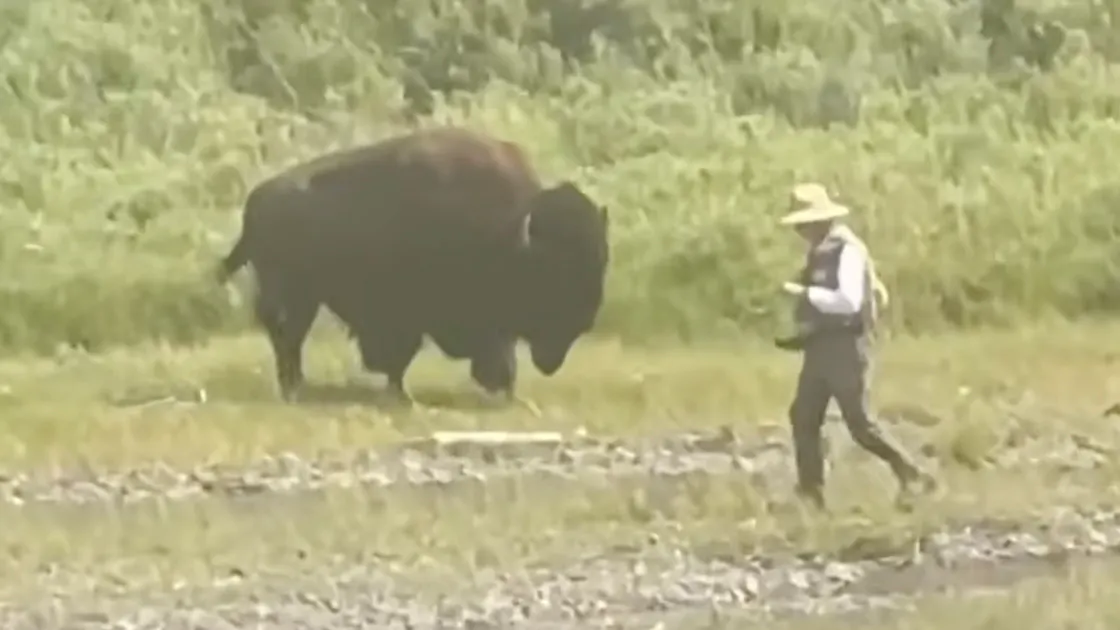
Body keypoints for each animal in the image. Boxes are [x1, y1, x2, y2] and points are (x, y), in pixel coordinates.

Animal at [215, 126, 610, 407]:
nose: (585, 320)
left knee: (289, 338)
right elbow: (402, 356)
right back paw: (294, 388)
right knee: (286, 337)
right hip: (292, 295)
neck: (512, 231)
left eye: (600, 260)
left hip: (306, 299)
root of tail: (256, 202)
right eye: (556, 271)